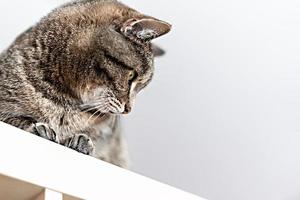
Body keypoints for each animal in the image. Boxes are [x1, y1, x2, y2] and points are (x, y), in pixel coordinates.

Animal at [0, 0, 171, 168]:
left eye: (140, 87)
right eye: (131, 77)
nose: (128, 110)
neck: (65, 101)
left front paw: (82, 141)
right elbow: (15, 118)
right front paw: (38, 127)